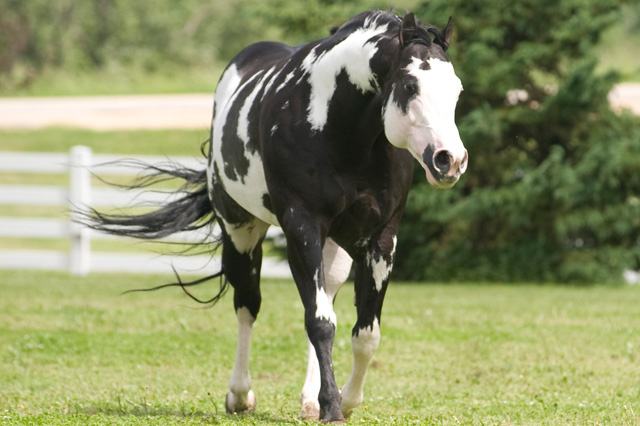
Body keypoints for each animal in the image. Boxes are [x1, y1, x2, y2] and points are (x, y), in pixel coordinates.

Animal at [86, 9, 467, 423]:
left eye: (457, 90)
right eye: (411, 85)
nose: (450, 160)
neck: (337, 128)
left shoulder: (381, 238)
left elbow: (366, 332)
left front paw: (344, 400)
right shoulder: (301, 227)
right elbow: (319, 323)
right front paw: (332, 406)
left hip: (334, 248)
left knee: (324, 299)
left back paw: (308, 398)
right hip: (241, 231)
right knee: (247, 304)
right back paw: (240, 395)